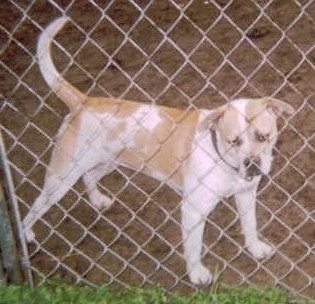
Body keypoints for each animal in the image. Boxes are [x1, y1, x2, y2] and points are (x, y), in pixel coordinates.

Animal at [22, 17, 296, 284]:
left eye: (263, 136)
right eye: (234, 141)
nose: (253, 164)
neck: (224, 161)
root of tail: (83, 101)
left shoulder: (246, 195)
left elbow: (250, 226)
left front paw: (255, 248)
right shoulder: (193, 211)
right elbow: (193, 248)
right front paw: (197, 275)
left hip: (106, 162)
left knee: (89, 177)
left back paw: (98, 201)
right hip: (60, 179)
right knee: (34, 207)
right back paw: (26, 235)